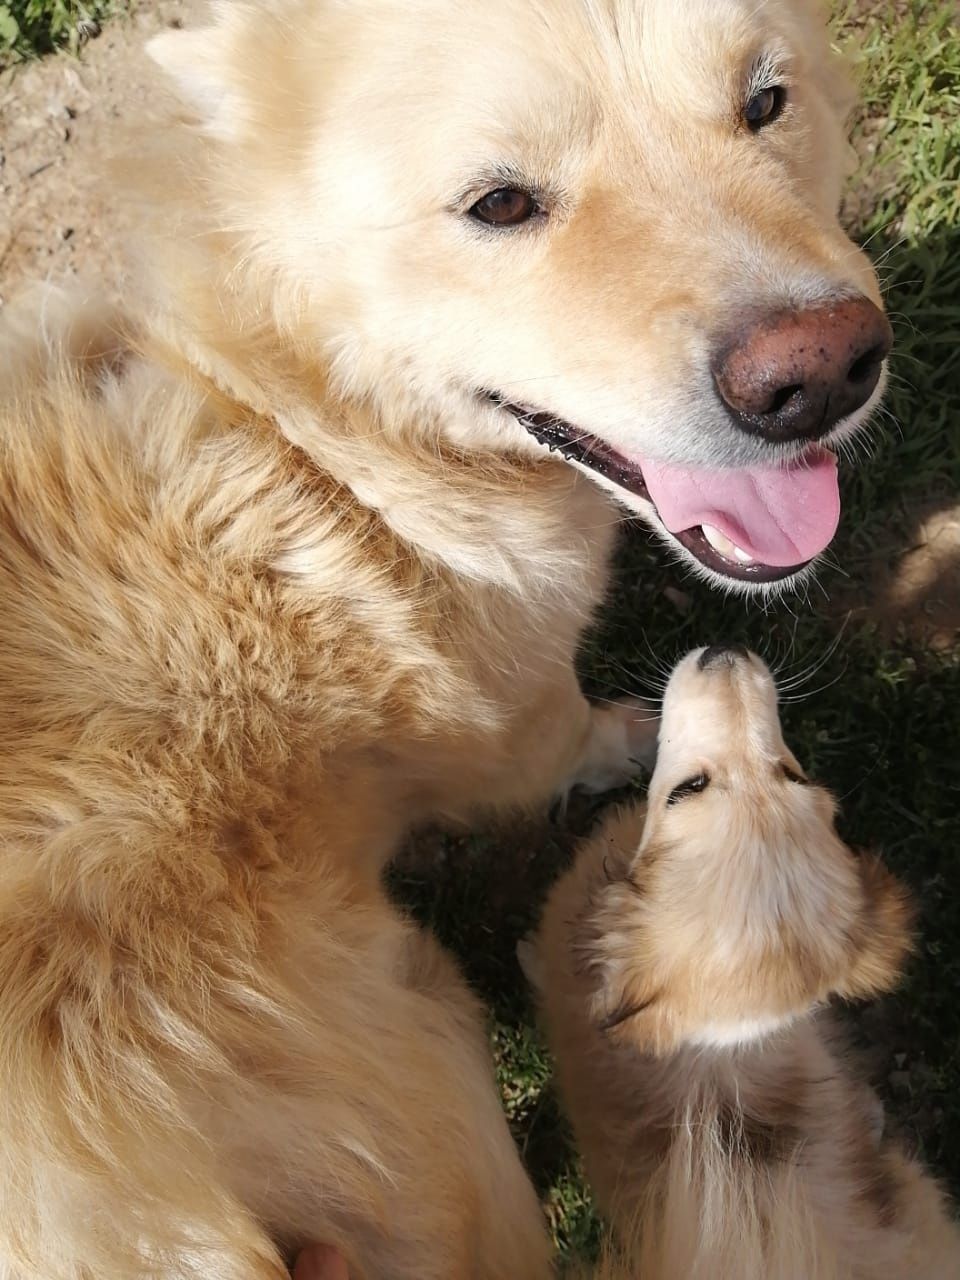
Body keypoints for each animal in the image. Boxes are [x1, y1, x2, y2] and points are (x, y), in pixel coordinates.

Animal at [1, 2, 896, 1280]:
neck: (313, 451)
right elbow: (578, 733)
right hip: (441, 1063)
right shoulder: (517, 717)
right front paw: (641, 743)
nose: (821, 374)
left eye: (765, 101)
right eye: (501, 203)